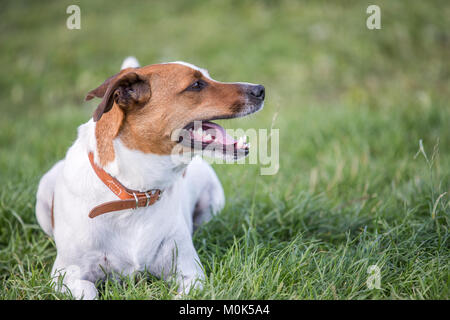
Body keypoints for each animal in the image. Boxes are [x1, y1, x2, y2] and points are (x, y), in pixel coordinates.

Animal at [37, 56, 266, 298]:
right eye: (196, 85)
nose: (260, 89)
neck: (135, 194)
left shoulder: (190, 273)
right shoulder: (66, 275)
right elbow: (89, 289)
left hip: (212, 201)